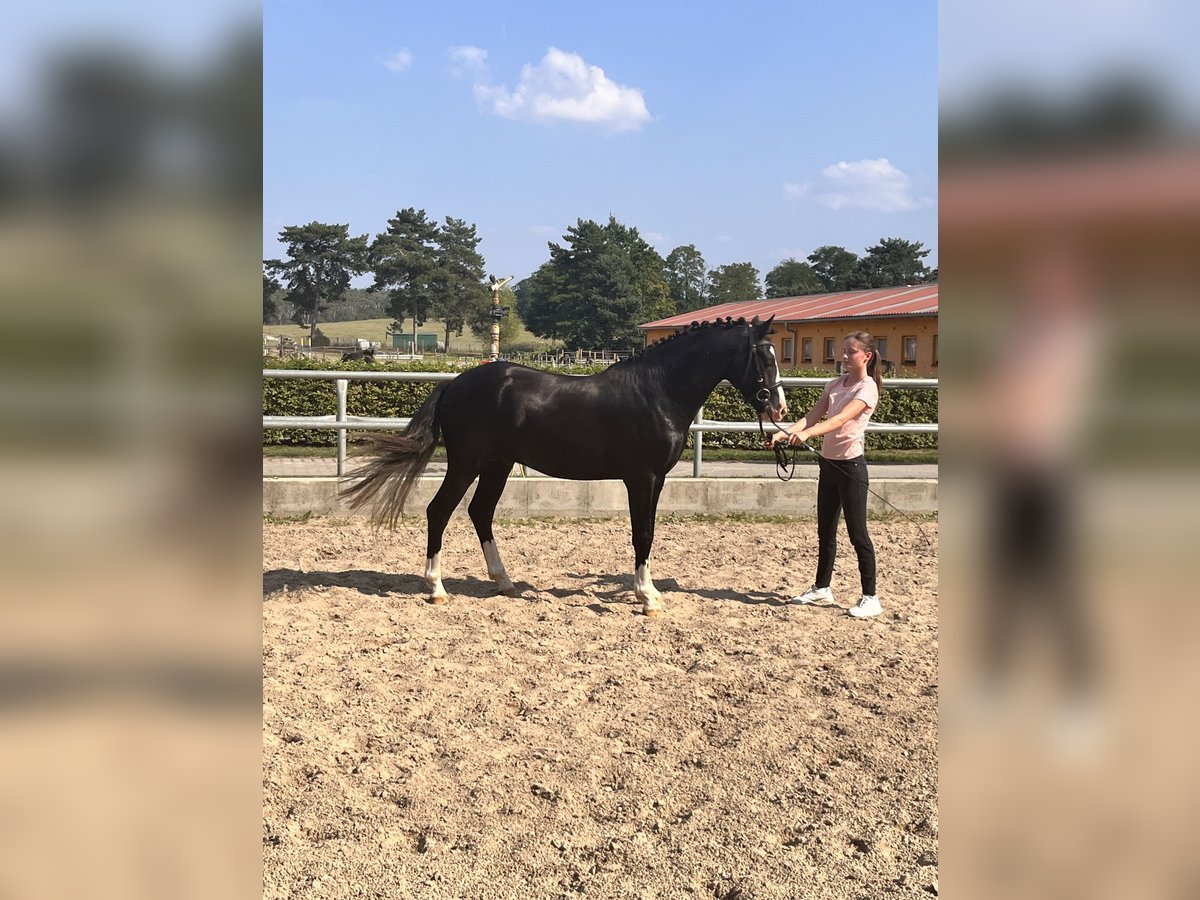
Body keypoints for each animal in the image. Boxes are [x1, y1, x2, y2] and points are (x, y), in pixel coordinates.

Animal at [340, 314, 787, 619]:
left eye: (776, 355)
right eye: (762, 358)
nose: (779, 408)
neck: (657, 390)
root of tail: (454, 384)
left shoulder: (656, 480)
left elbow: (648, 533)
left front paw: (647, 592)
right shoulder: (641, 478)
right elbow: (641, 534)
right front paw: (647, 597)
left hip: (498, 465)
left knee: (479, 512)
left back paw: (504, 582)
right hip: (467, 463)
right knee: (440, 511)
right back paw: (436, 588)